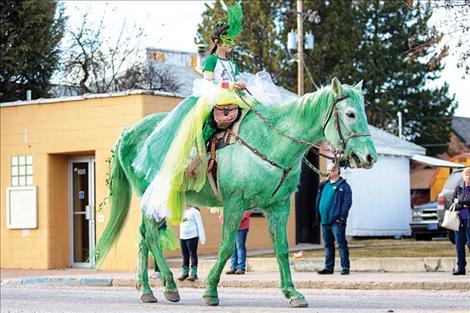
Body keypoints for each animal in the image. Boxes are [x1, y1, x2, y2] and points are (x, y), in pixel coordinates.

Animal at [94, 77, 378, 306]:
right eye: (351, 114)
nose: (370, 157)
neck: (272, 142)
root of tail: (128, 132)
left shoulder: (279, 207)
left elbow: (281, 249)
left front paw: (292, 293)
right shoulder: (234, 204)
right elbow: (226, 246)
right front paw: (210, 291)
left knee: (143, 236)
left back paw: (147, 290)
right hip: (152, 195)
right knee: (151, 236)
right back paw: (170, 286)